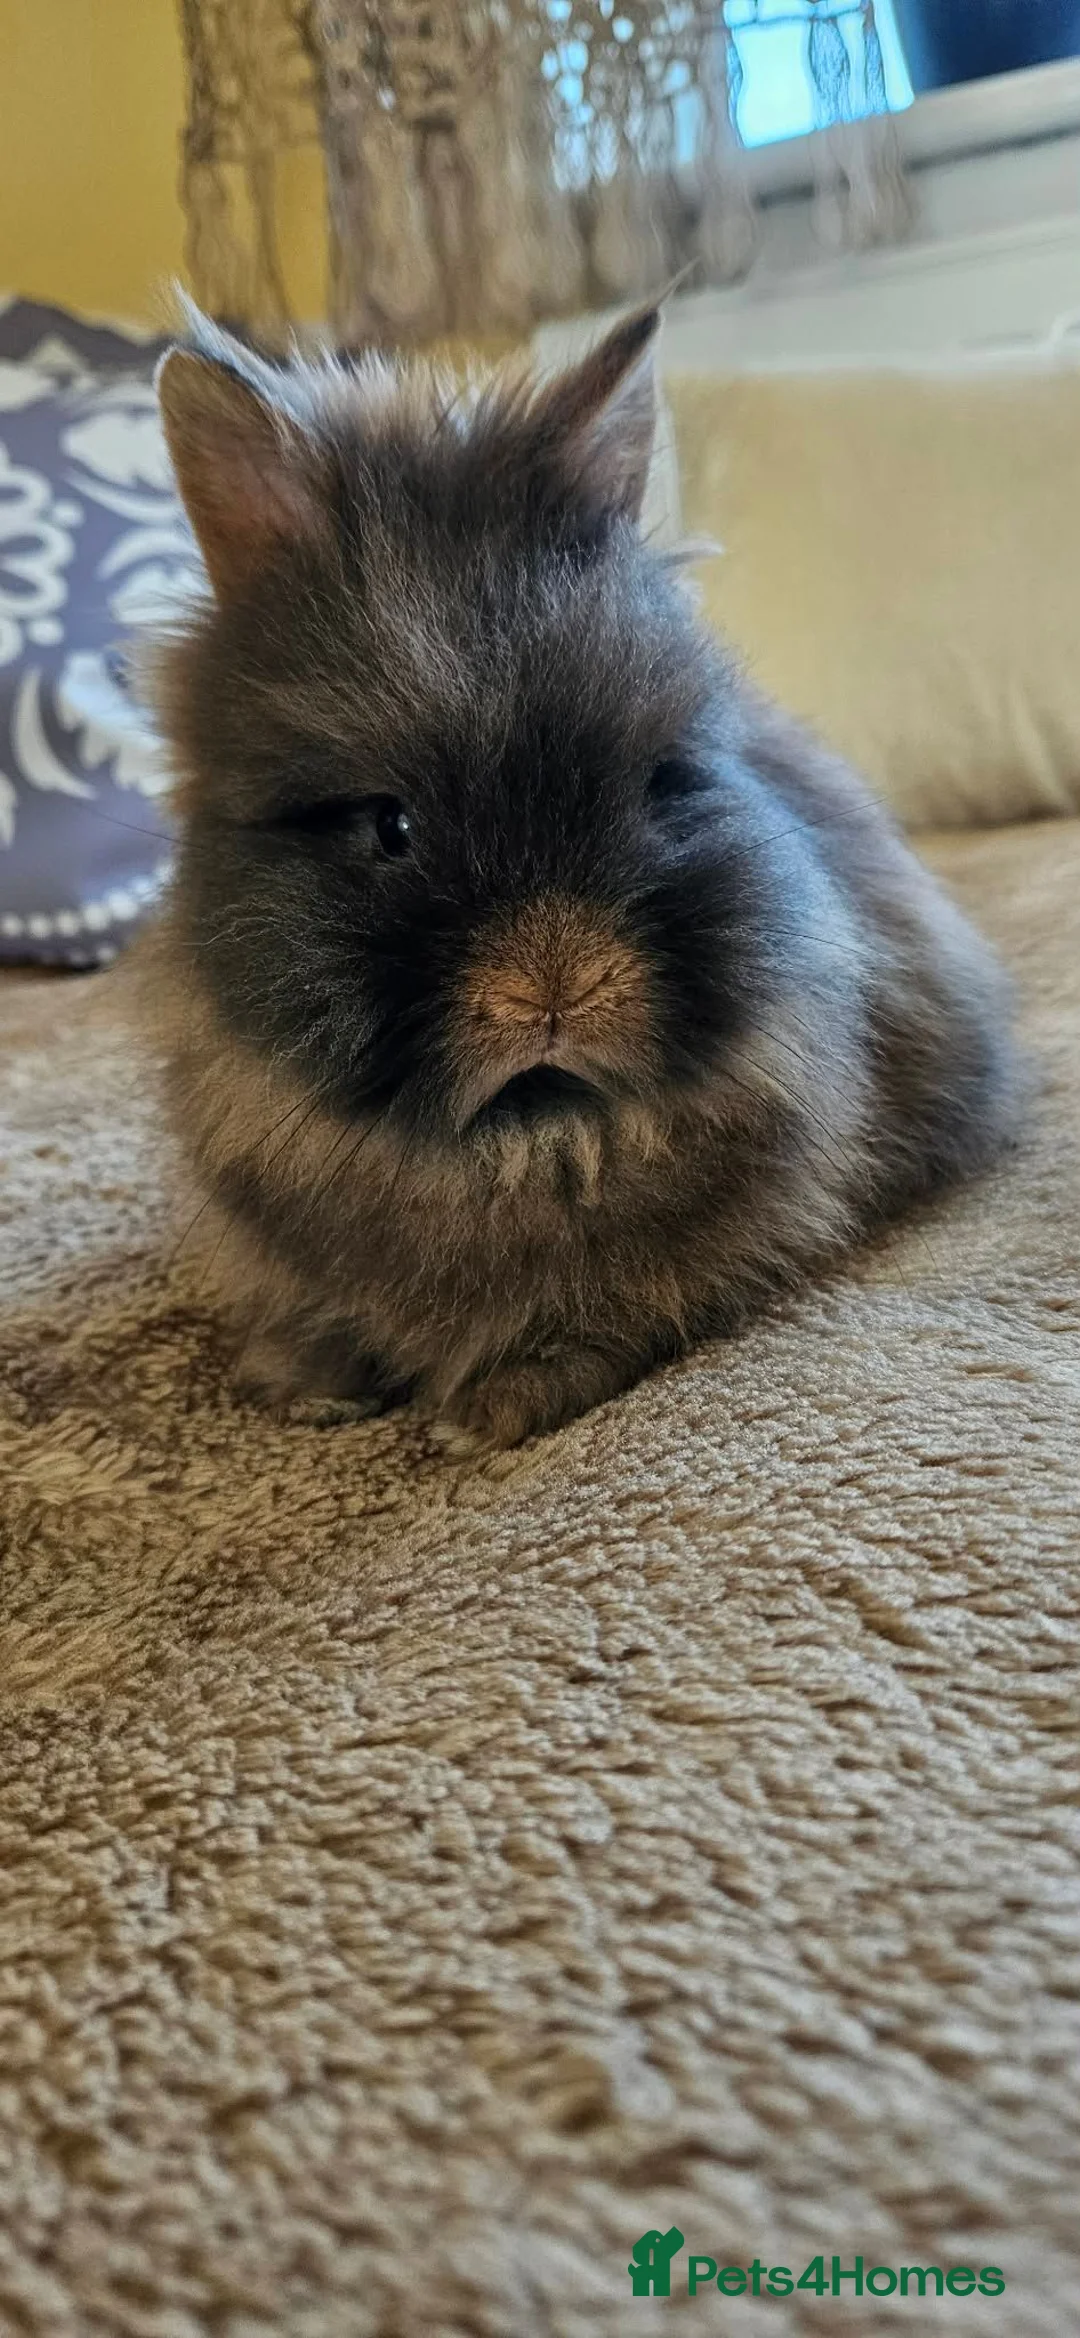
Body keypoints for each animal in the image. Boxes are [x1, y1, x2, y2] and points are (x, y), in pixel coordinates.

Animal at [141, 302, 1019, 1449]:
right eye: (390, 825)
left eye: (656, 783)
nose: (554, 987)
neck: (527, 1135)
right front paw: (305, 1386)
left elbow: (614, 1320)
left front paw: (484, 1415)